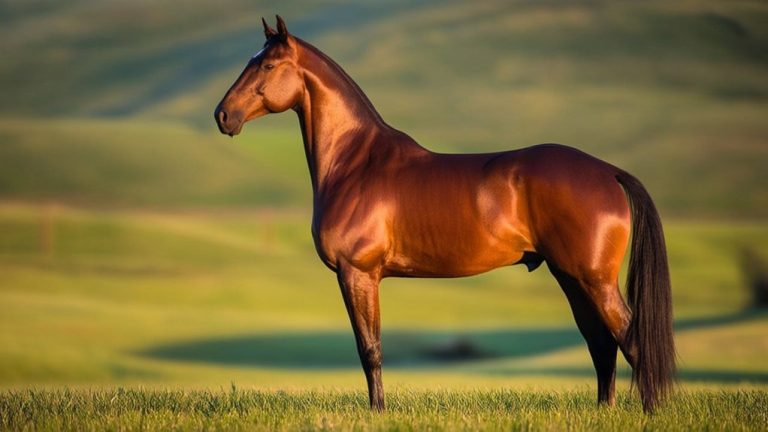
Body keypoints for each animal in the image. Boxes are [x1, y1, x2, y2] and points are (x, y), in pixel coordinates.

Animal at [214, 16, 675, 413]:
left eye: (268, 65)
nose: (223, 115)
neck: (354, 163)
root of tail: (607, 171)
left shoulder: (358, 273)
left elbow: (370, 350)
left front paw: (377, 412)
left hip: (593, 279)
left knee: (630, 341)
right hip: (572, 278)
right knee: (602, 344)